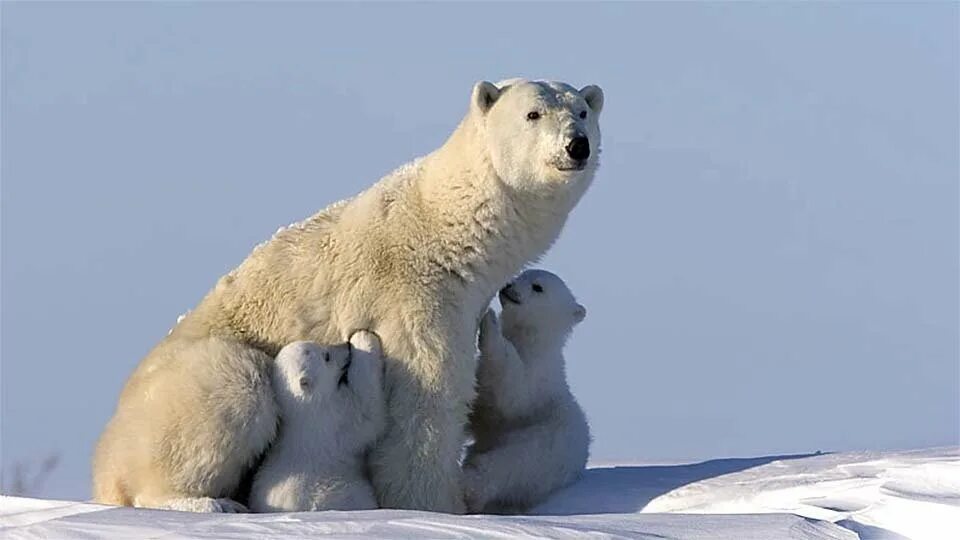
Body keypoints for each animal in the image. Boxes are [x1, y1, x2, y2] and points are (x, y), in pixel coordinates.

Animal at [249, 330, 385, 512]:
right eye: (326, 356)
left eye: (321, 345)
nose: (346, 345)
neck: (303, 408)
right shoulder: (334, 420)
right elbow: (367, 412)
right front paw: (364, 337)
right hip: (341, 491)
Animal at [463, 269, 590, 514]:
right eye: (522, 274)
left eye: (537, 287)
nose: (508, 285)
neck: (532, 342)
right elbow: (480, 406)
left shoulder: (537, 381)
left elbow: (513, 394)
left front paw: (490, 321)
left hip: (541, 450)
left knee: (508, 465)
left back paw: (471, 486)